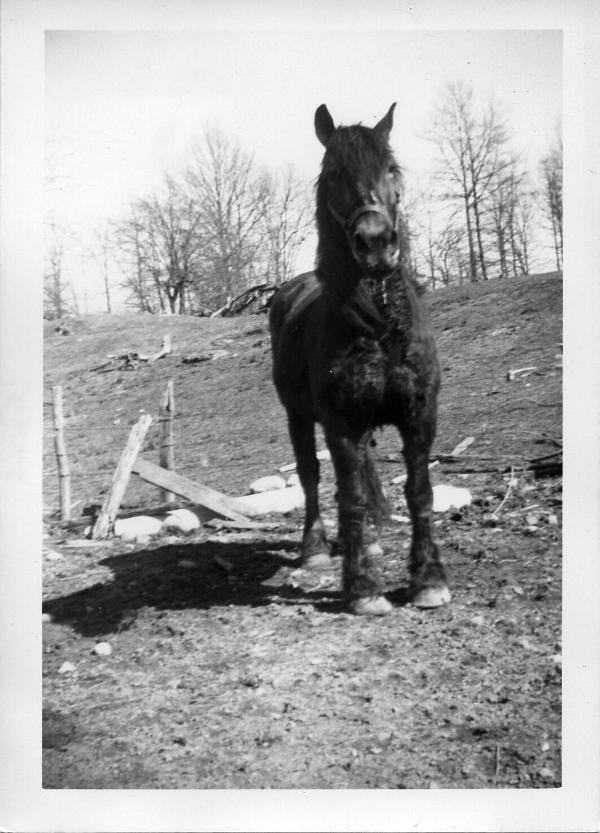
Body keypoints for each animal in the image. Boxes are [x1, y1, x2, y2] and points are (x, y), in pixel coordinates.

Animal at [269, 104, 450, 615]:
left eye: (391, 168)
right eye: (334, 173)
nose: (375, 243)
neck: (378, 324)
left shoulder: (419, 415)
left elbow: (419, 492)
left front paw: (428, 579)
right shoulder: (340, 425)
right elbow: (347, 497)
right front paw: (363, 587)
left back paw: (368, 541)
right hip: (297, 417)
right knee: (311, 479)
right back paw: (315, 549)